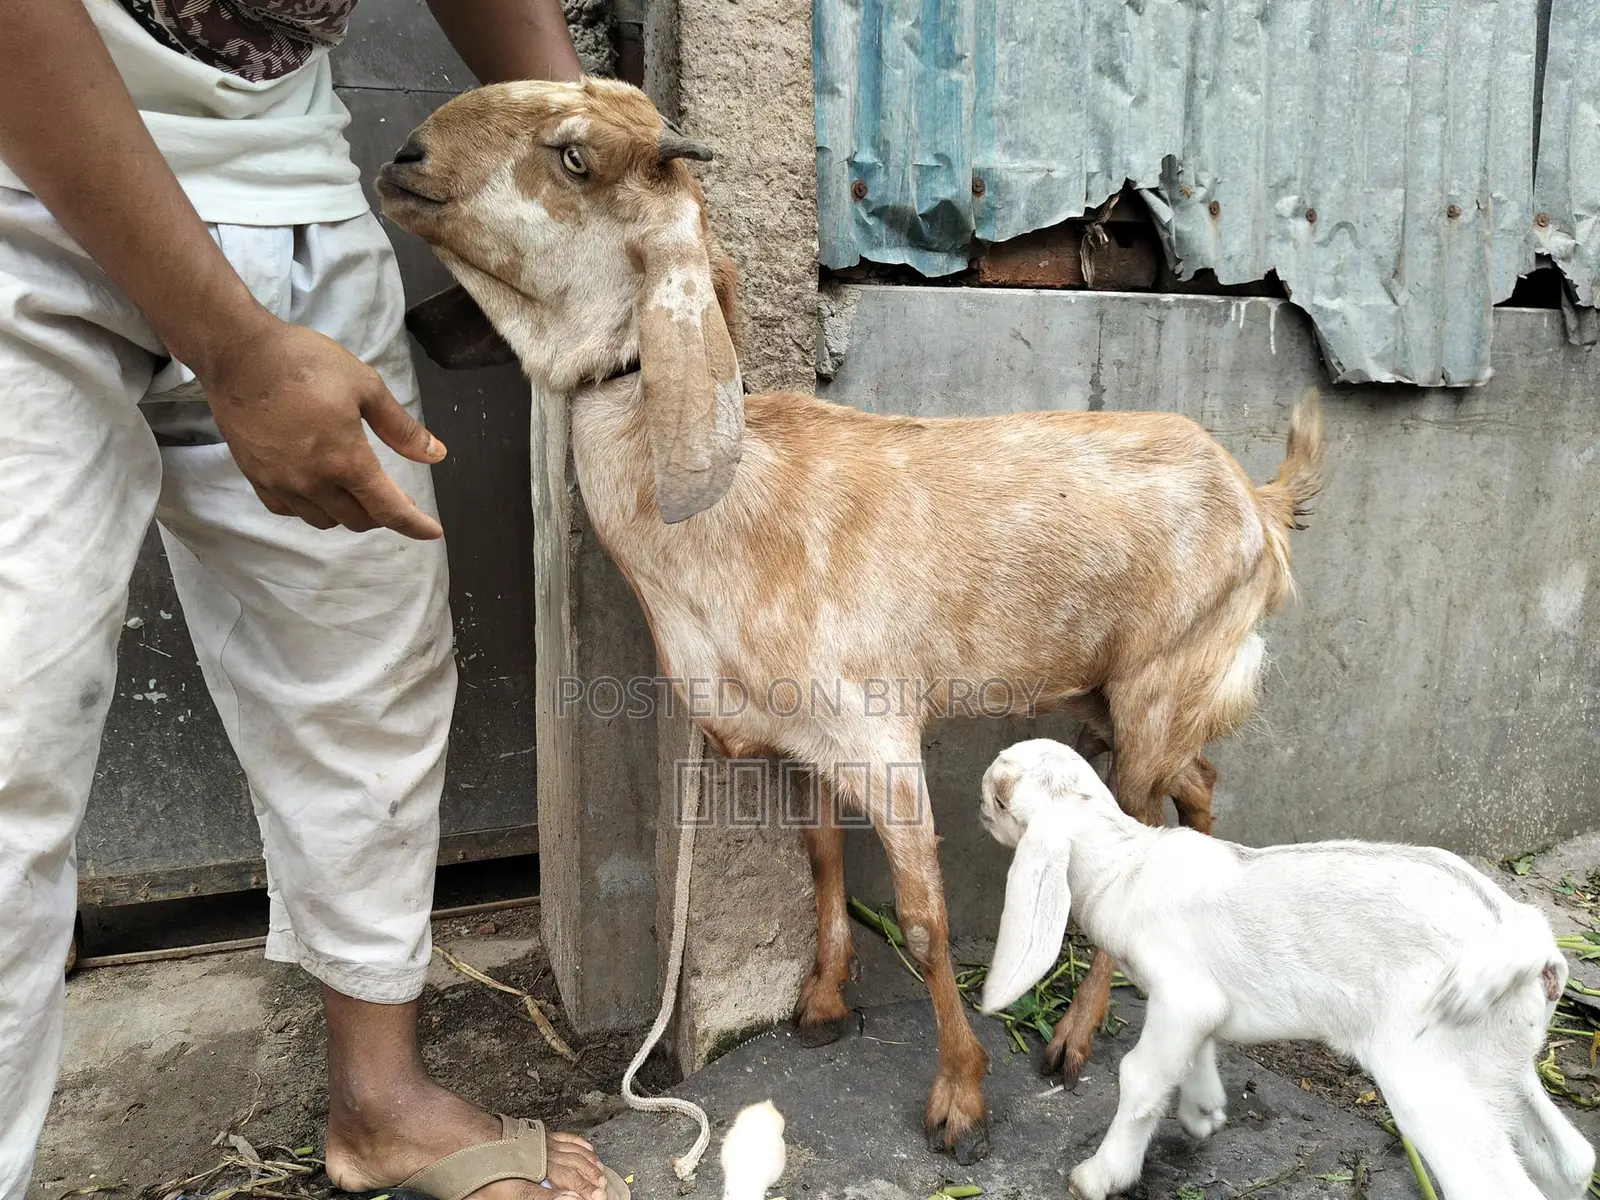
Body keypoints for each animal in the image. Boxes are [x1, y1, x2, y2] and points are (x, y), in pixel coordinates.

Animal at [377, 78, 1325, 1164]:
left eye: (574, 156)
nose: (402, 160)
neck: (725, 506)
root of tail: (1260, 498)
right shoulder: (804, 738)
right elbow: (821, 857)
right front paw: (824, 1003)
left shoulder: (878, 734)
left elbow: (922, 918)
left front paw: (959, 1098)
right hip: (1119, 695)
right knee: (1197, 788)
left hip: (1161, 684)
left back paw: (1073, 1045)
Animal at [979, 739, 1595, 1200]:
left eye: (1000, 796)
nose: (978, 804)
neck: (1124, 865)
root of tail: (1528, 938)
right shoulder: (1197, 1005)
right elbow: (1198, 1048)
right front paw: (1203, 1112)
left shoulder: (1181, 994)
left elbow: (1141, 1077)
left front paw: (1101, 1175)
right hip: (1496, 1067)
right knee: (1573, 1159)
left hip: (1432, 1080)